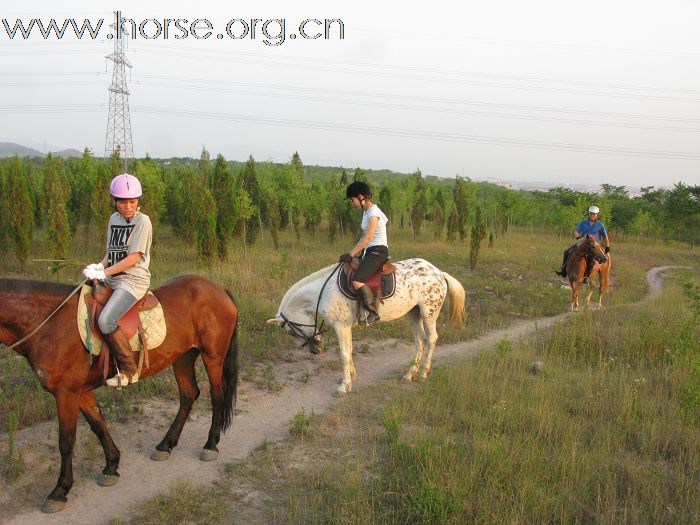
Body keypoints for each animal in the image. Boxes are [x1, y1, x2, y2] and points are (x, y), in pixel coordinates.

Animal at [0, 274, 238, 512]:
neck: (49, 324)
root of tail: (219, 290)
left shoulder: (66, 393)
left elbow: (66, 441)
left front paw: (60, 491)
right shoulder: (80, 392)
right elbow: (98, 425)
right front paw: (111, 466)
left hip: (213, 356)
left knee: (217, 396)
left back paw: (210, 445)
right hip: (183, 357)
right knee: (188, 395)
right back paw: (165, 445)